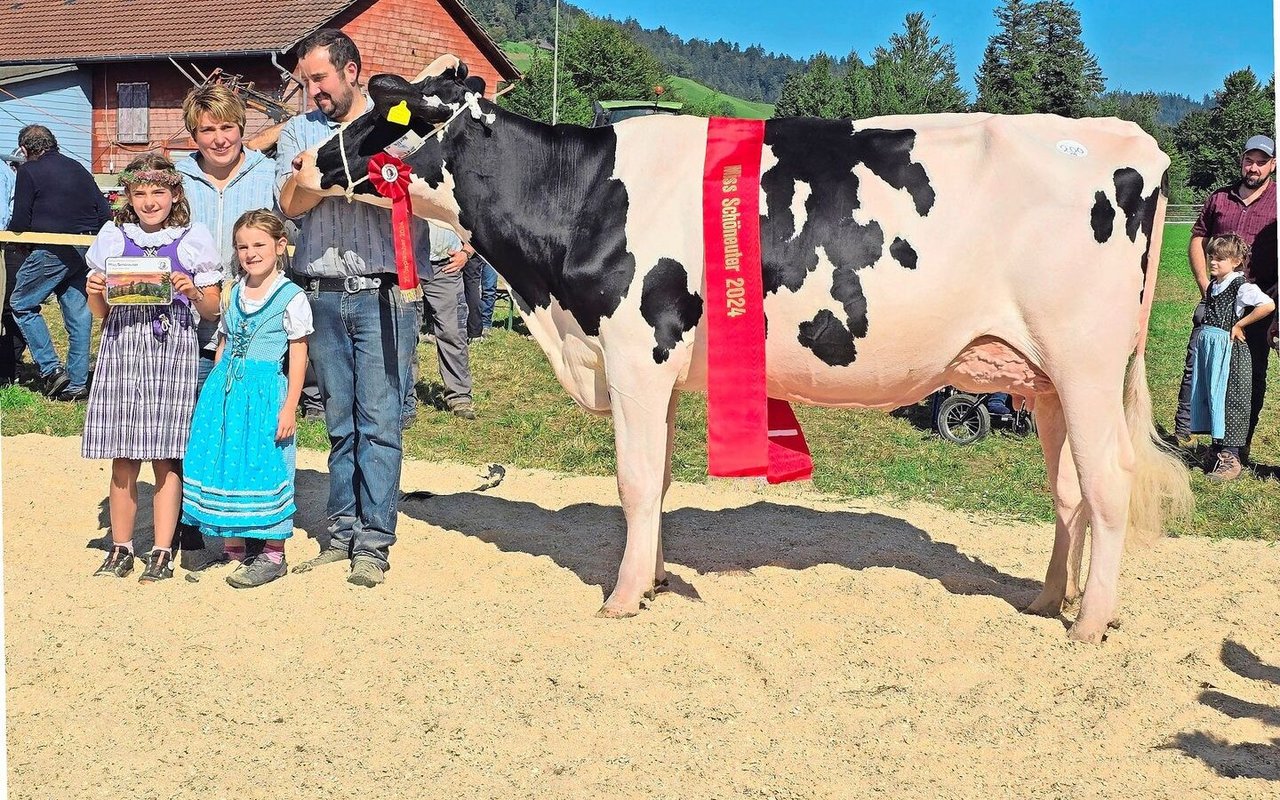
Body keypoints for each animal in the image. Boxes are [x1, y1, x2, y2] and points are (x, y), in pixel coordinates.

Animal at [294, 54, 1192, 642]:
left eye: (382, 115)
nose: (302, 160)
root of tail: (1132, 145)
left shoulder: (636, 350)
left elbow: (632, 479)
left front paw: (623, 597)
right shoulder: (653, 367)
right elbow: (656, 481)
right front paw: (655, 578)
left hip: (1086, 361)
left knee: (1107, 483)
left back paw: (1090, 624)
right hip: (1040, 376)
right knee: (1069, 491)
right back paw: (1050, 601)